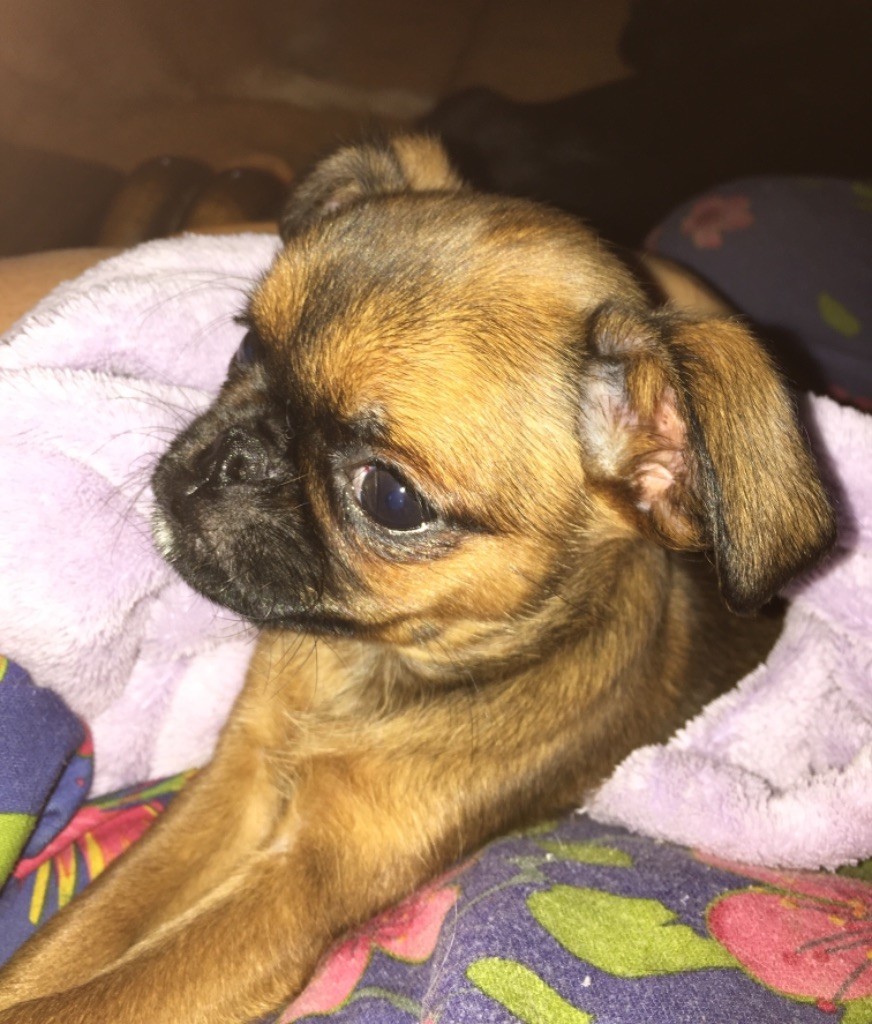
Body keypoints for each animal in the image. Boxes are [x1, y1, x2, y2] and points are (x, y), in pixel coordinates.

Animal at [0, 134, 835, 1024]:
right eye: (246, 350)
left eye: (390, 498)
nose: (233, 456)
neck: (370, 671)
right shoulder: (235, 785)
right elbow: (83, 932)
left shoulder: (302, 891)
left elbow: (107, 992)